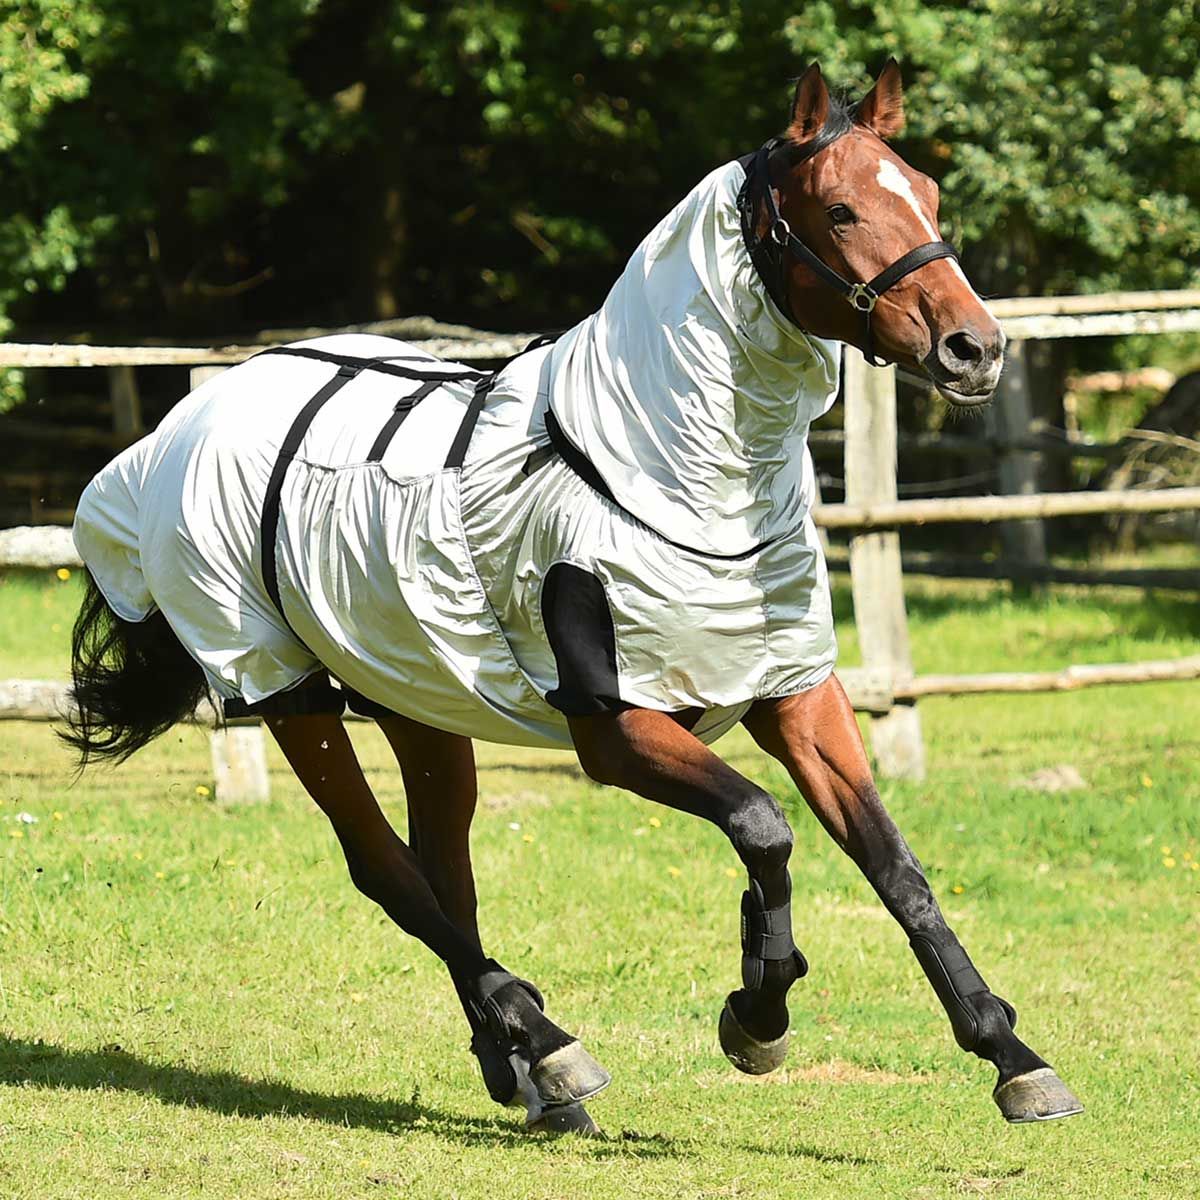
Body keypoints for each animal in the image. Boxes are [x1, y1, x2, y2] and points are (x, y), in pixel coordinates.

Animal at [63, 60, 1082, 1135]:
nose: (975, 349)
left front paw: (1011, 1055)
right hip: (286, 692)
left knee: (445, 873)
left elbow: (894, 866)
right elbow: (763, 826)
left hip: (418, 701)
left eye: (927, 193)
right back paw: (550, 1046)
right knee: (387, 871)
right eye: (841, 208)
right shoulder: (616, 726)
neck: (656, 474)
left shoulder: (796, 692)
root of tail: (181, 425)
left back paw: (524, 1072)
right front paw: (757, 1012)